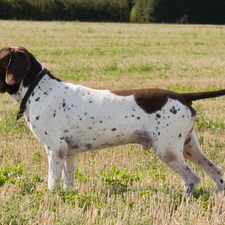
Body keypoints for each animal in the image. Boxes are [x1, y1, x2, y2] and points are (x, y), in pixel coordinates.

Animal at [0, 45, 225, 193]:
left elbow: (51, 184)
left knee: (192, 178)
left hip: (167, 150)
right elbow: (68, 183)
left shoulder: (56, 149)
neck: (39, 89)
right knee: (216, 172)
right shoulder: (69, 153)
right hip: (189, 147)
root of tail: (182, 96)